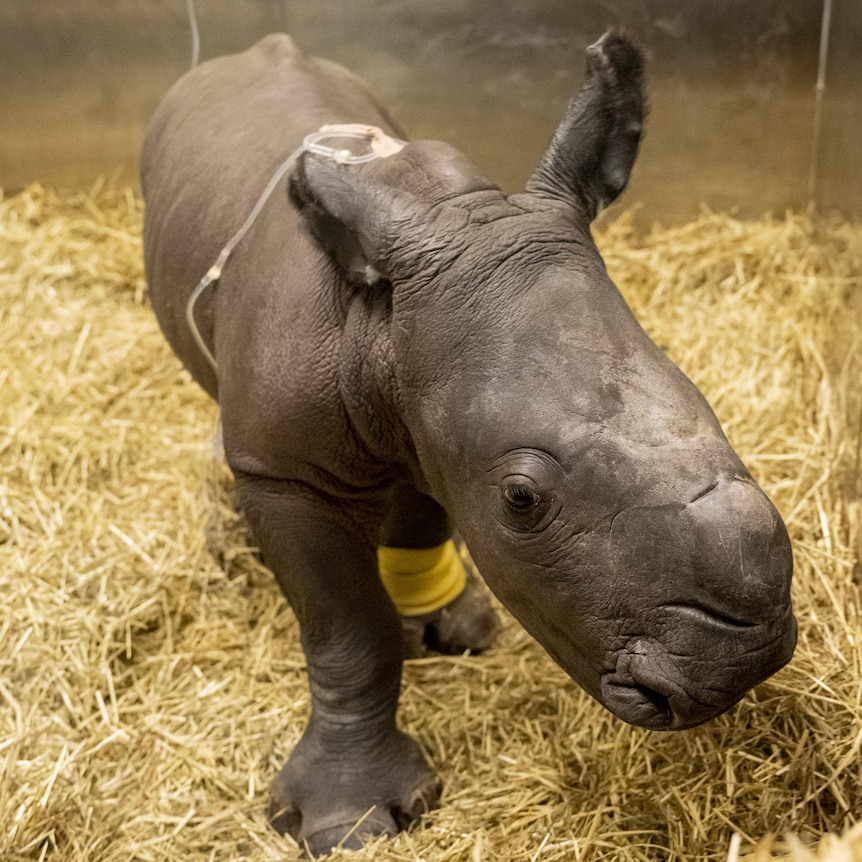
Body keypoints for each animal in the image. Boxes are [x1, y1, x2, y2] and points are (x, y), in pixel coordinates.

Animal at [142, 32, 796, 856]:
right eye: (522, 499)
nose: (737, 665)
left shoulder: (436, 423)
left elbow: (425, 515)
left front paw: (445, 626)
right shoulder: (285, 473)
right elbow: (349, 633)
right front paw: (349, 822)